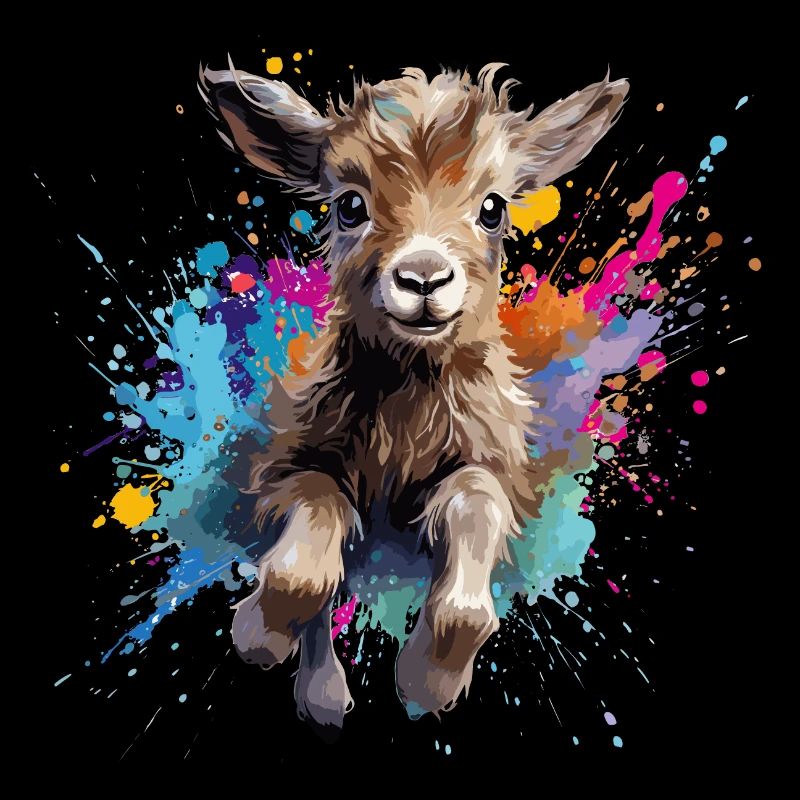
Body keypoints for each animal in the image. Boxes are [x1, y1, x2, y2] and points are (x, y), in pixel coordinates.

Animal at [201, 61, 627, 731]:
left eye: (492, 208)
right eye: (350, 206)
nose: (423, 278)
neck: (411, 398)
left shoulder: (489, 466)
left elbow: (472, 554)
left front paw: (427, 683)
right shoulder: (290, 467)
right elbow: (304, 566)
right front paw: (257, 638)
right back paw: (323, 697)